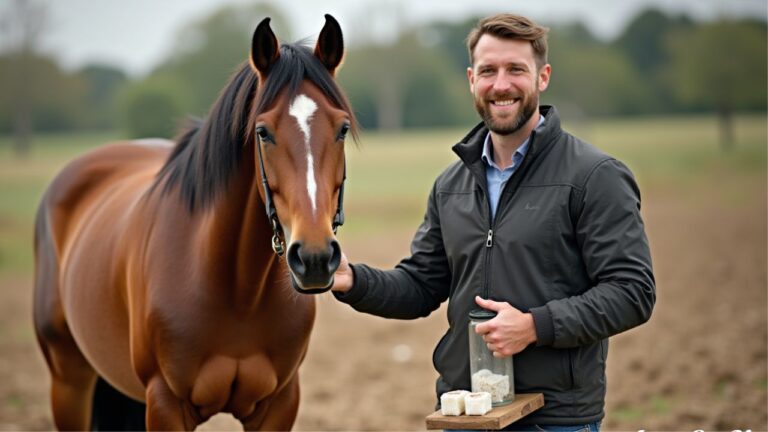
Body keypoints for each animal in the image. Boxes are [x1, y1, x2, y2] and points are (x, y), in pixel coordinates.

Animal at [30, 15, 354, 430]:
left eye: (342, 128)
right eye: (263, 132)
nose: (314, 259)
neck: (236, 290)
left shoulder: (280, 404)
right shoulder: (166, 404)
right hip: (68, 383)